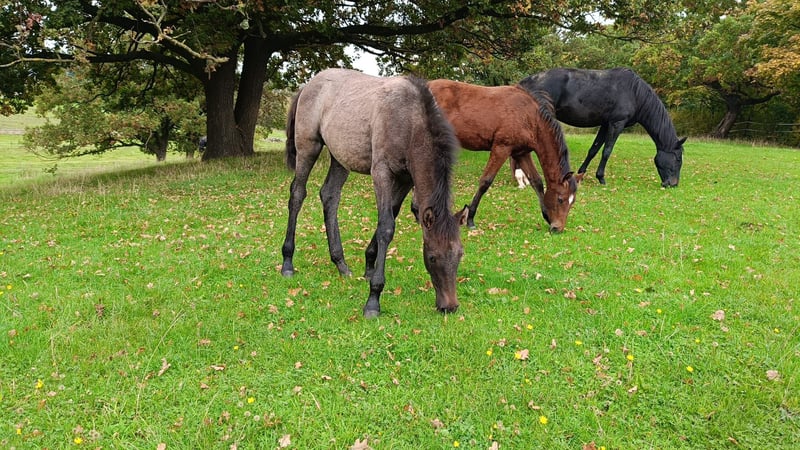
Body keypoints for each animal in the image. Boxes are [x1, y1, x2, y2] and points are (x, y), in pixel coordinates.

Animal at [281, 68, 468, 318]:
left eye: (459, 254)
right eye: (432, 257)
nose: (450, 306)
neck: (409, 121)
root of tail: (307, 86)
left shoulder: (406, 179)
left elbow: (390, 216)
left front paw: (369, 265)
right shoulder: (381, 172)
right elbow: (387, 226)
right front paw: (373, 299)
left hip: (340, 157)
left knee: (330, 195)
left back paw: (341, 264)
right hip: (308, 147)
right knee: (298, 194)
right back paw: (287, 262)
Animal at [427, 79, 581, 233]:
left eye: (572, 201)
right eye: (560, 199)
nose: (557, 228)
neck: (529, 117)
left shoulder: (521, 153)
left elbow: (536, 181)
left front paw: (546, 215)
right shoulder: (501, 148)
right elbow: (485, 181)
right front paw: (470, 218)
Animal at [519, 67, 685, 187]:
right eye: (678, 159)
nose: (673, 184)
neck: (635, 93)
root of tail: (525, 82)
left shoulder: (605, 124)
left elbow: (594, 149)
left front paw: (581, 175)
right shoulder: (617, 124)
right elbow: (607, 151)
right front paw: (601, 178)